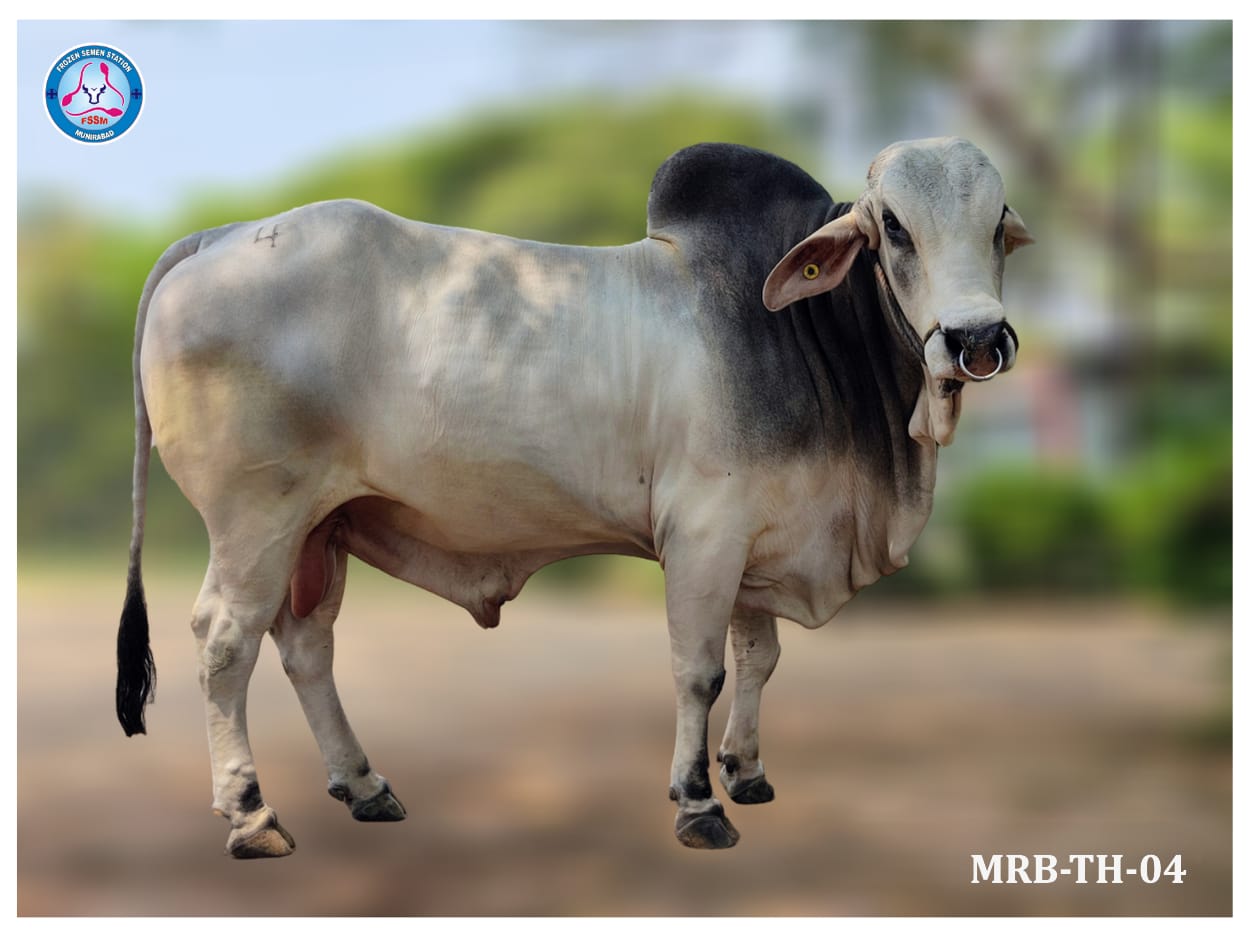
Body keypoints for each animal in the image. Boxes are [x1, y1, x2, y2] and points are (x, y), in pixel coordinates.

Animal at [116, 138, 1032, 858]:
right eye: (894, 227)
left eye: (998, 223)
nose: (976, 338)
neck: (801, 330)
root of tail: (219, 236)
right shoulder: (704, 533)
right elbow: (699, 670)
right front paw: (698, 802)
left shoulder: (756, 537)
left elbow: (758, 657)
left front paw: (746, 771)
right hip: (255, 520)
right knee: (225, 643)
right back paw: (250, 814)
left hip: (319, 528)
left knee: (306, 646)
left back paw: (364, 783)